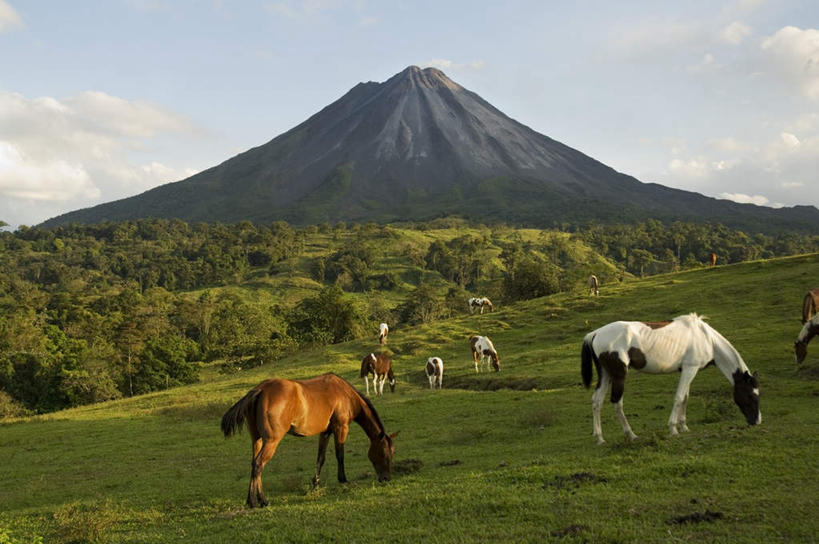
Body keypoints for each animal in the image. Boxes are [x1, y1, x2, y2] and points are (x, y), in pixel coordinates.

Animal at [219, 372, 396, 508]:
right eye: (384, 453)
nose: (386, 478)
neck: (345, 394)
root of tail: (261, 389)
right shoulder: (341, 428)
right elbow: (340, 455)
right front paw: (343, 480)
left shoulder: (325, 432)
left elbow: (320, 458)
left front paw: (315, 484)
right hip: (271, 441)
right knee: (258, 464)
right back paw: (259, 501)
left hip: (257, 439)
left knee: (255, 464)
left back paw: (253, 500)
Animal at [584, 312, 764, 444]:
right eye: (750, 395)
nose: (756, 421)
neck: (706, 338)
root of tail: (595, 333)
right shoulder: (690, 369)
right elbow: (679, 397)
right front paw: (673, 429)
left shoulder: (689, 370)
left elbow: (685, 397)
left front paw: (684, 427)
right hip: (619, 375)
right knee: (617, 402)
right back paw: (631, 434)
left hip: (606, 375)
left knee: (596, 401)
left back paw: (600, 438)